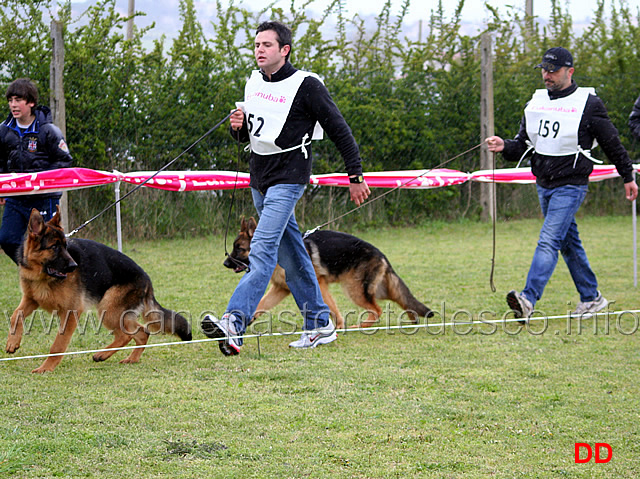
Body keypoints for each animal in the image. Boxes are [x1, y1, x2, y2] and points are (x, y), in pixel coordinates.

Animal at [5, 207, 191, 376]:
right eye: (54, 247)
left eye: (65, 246)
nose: (74, 266)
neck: (42, 276)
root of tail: (146, 279)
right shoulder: (31, 299)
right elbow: (15, 315)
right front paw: (12, 342)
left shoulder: (71, 312)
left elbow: (57, 345)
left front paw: (46, 368)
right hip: (114, 312)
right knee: (141, 332)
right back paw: (130, 358)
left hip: (107, 310)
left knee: (128, 334)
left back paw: (102, 354)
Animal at [222, 218, 432, 328]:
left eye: (239, 249)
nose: (225, 263)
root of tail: (381, 254)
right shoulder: (281, 289)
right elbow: (262, 303)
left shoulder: (319, 285)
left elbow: (331, 307)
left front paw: (338, 327)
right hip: (377, 289)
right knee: (400, 298)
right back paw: (413, 319)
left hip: (354, 290)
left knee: (377, 310)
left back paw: (359, 327)